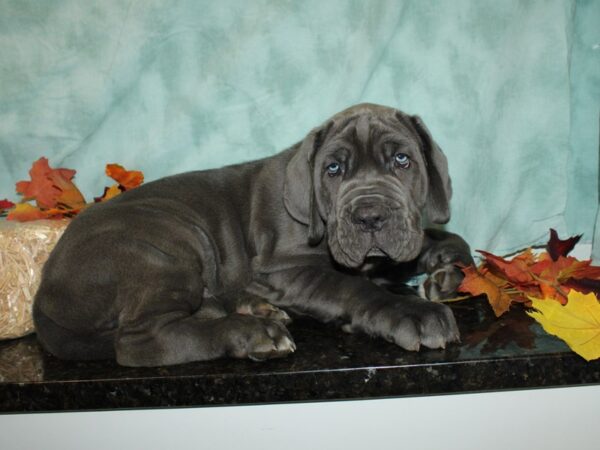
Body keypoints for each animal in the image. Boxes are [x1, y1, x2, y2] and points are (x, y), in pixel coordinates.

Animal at [32, 104, 474, 366]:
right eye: (333, 169)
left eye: (402, 159)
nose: (370, 217)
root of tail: (43, 291)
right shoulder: (283, 270)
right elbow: (350, 286)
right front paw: (410, 312)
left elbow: (444, 240)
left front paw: (444, 272)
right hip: (170, 239)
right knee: (140, 341)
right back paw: (253, 332)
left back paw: (252, 309)